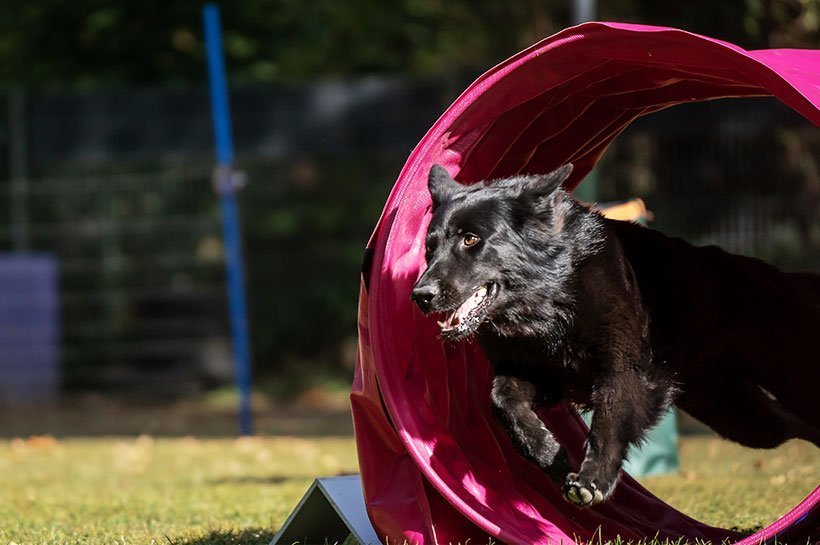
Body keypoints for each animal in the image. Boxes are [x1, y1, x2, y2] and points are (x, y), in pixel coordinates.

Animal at [414, 164, 816, 508]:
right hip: (736, 413)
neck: (550, 301)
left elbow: (608, 420)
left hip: (785, 381)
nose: (420, 295)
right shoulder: (539, 375)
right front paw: (548, 453)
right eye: (430, 248)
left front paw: (591, 480)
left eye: (471, 240)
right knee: (792, 425)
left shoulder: (622, 369)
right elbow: (502, 400)